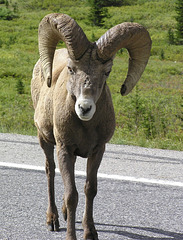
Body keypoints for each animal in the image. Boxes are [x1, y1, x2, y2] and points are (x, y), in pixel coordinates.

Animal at [31, 13, 152, 240]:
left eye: (107, 72)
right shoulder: (64, 149)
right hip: (45, 139)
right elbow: (72, 195)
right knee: (50, 171)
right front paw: (71, 236)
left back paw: (64, 214)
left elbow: (89, 190)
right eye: (71, 69)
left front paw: (90, 233)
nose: (84, 108)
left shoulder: (97, 150)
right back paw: (53, 220)